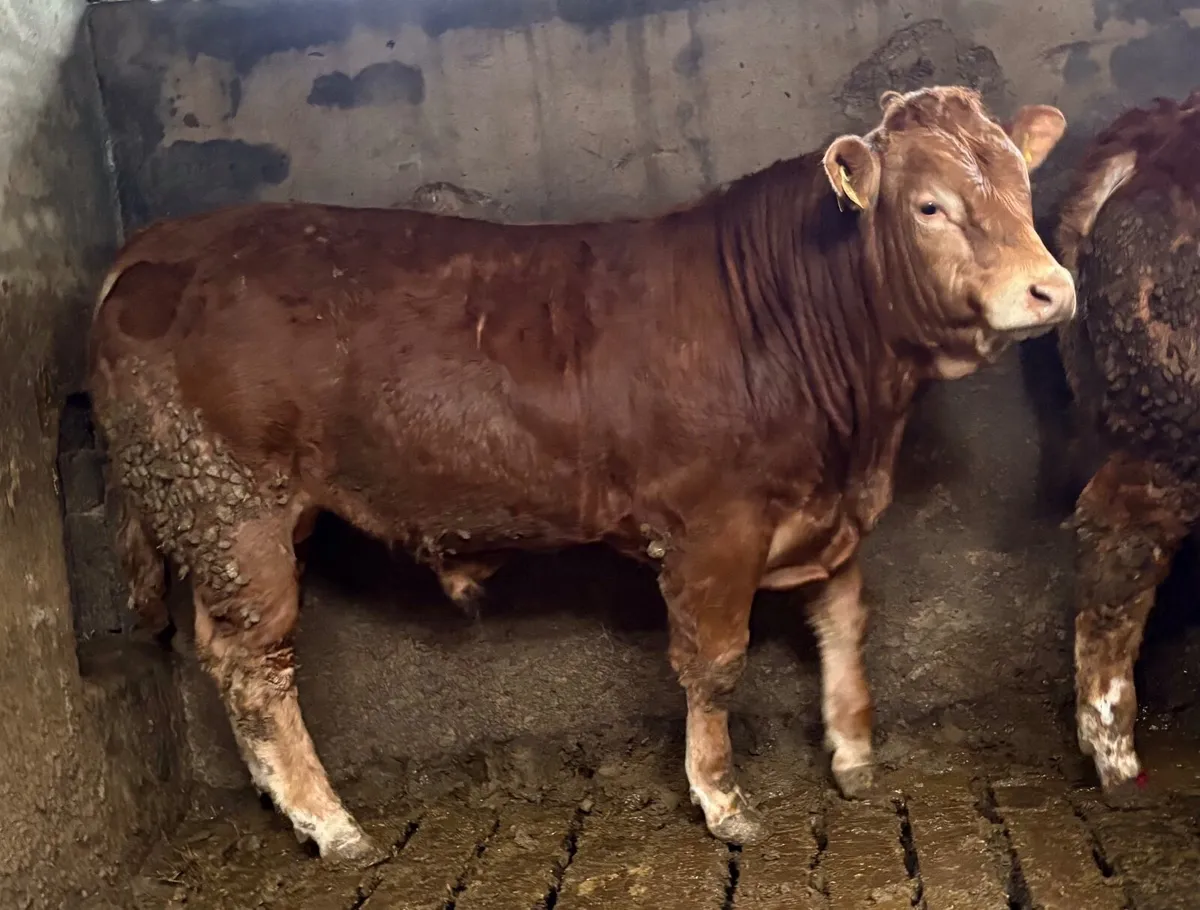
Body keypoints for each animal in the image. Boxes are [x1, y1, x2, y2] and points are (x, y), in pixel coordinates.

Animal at [89, 85, 1074, 866]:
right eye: (930, 207)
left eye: (1024, 188)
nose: (1051, 289)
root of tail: (153, 244)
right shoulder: (715, 528)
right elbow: (714, 664)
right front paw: (723, 801)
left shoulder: (822, 511)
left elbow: (843, 622)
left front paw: (854, 752)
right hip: (231, 504)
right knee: (256, 666)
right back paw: (332, 826)